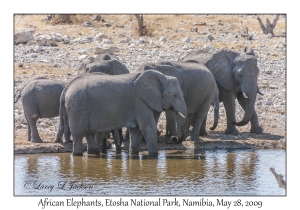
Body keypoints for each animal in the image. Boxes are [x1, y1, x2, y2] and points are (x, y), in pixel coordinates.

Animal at [58, 70, 188, 156]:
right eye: (175, 95)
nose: (174, 139)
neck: (162, 77)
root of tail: (66, 89)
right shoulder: (139, 101)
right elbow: (148, 128)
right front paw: (153, 157)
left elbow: (137, 130)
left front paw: (133, 155)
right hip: (78, 107)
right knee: (78, 134)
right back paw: (77, 154)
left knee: (89, 134)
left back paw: (92, 154)